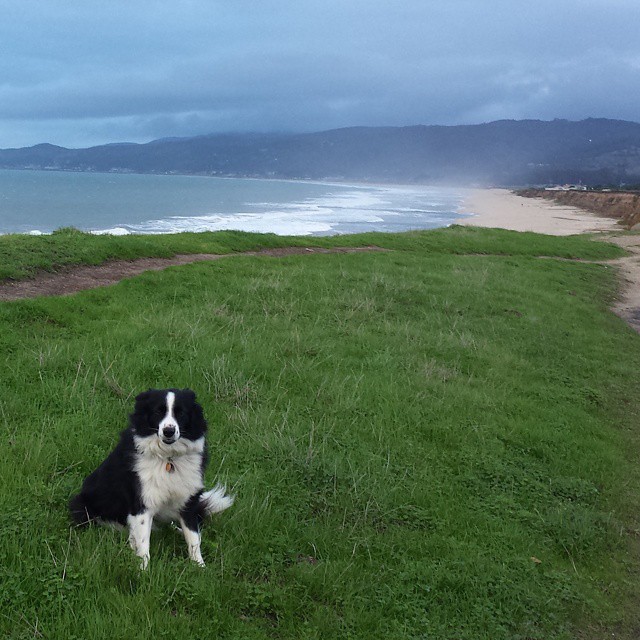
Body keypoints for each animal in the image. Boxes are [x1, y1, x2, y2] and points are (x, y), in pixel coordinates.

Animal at [69, 388, 234, 568]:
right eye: (157, 412)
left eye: (181, 413)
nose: (169, 431)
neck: (168, 458)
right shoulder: (142, 503)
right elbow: (143, 543)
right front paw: (143, 570)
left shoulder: (188, 500)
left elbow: (194, 538)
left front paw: (199, 567)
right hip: (83, 505)